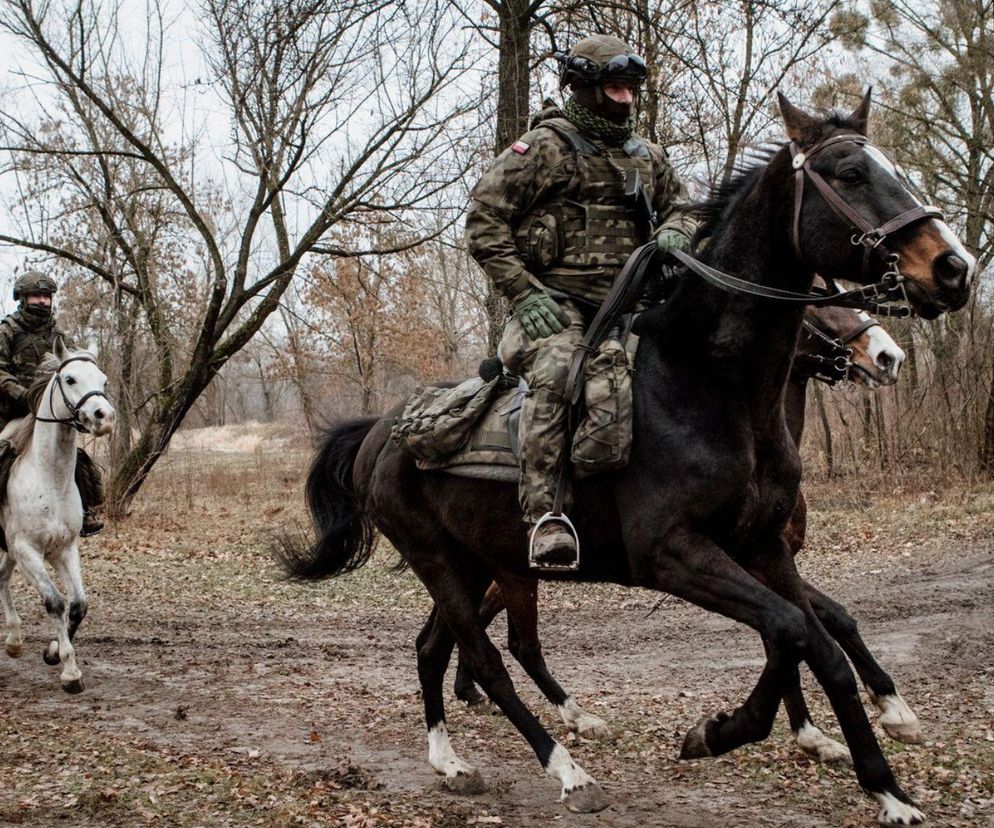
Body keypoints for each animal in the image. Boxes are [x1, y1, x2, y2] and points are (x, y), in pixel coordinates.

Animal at [0, 342, 115, 692]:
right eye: (70, 378)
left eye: (103, 381)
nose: (105, 417)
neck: (48, 477)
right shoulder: (28, 550)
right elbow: (55, 602)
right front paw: (70, 671)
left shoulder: (64, 549)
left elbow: (78, 604)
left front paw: (52, 653)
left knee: (2, 577)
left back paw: (14, 640)